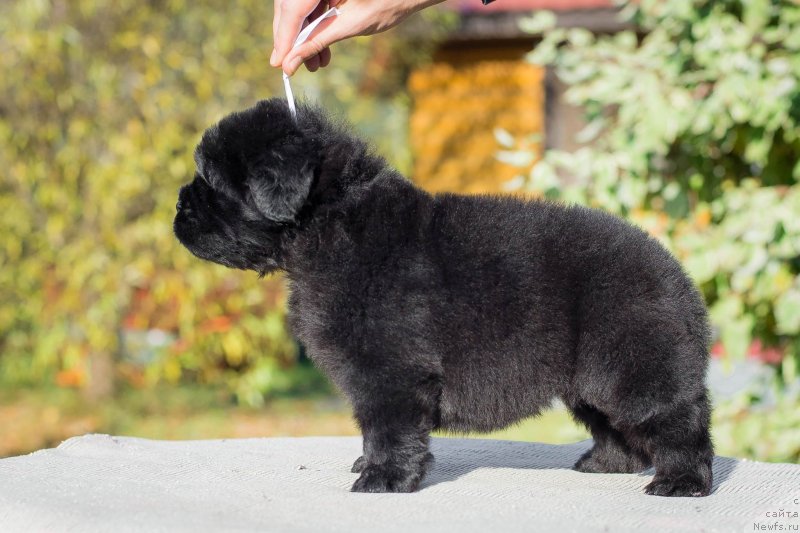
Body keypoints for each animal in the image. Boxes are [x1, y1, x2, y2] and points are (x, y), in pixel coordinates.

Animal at [173, 97, 712, 496]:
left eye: (212, 182)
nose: (178, 205)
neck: (332, 227)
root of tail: (677, 274)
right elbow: (373, 426)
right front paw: (367, 464)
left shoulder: (388, 370)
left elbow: (388, 427)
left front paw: (383, 479)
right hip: (591, 380)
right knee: (618, 427)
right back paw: (604, 463)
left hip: (634, 366)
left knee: (679, 421)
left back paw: (682, 482)